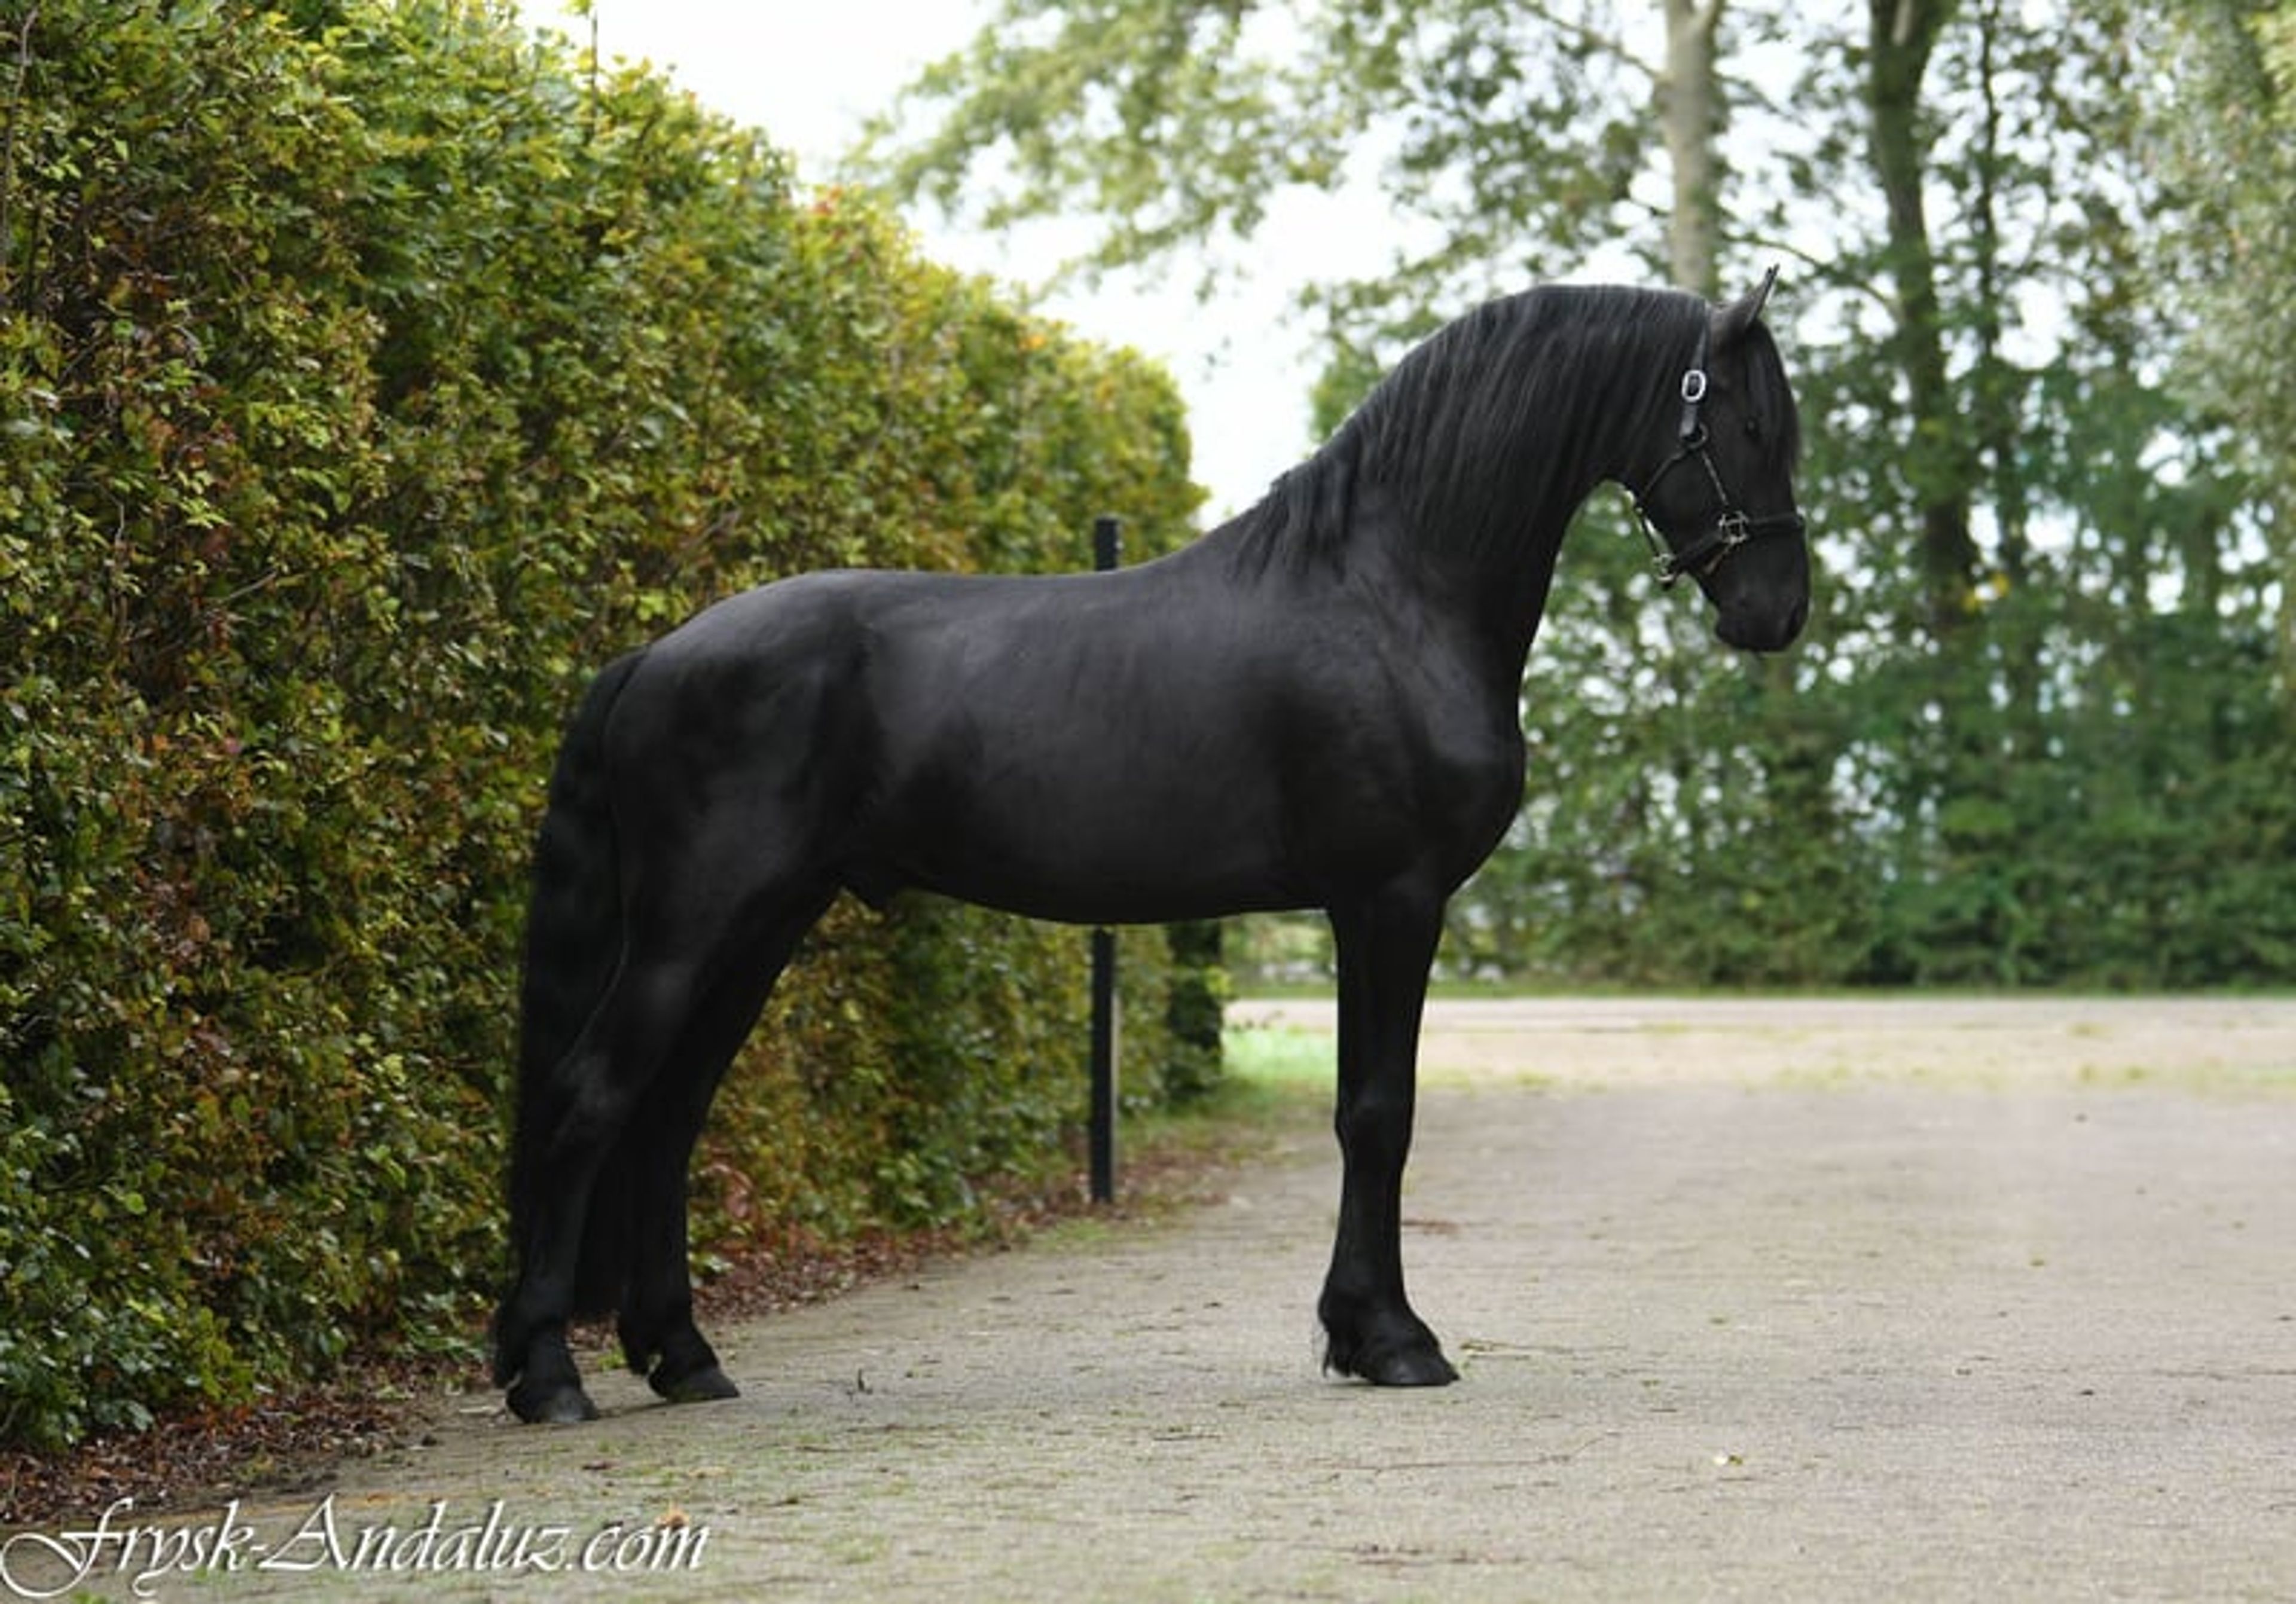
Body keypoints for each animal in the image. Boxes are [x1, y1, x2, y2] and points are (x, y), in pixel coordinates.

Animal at [492, 270, 1811, 1424]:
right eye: (1749, 421)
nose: (1780, 612)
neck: (1388, 591)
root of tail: (650, 657)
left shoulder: (1374, 906)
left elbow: (1367, 1110)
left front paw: (1358, 1331)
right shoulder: (1390, 899)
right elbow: (1378, 1113)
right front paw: (1392, 1340)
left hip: (763, 926)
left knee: (668, 1118)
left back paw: (681, 1356)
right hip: (692, 928)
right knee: (591, 1099)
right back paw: (549, 1377)